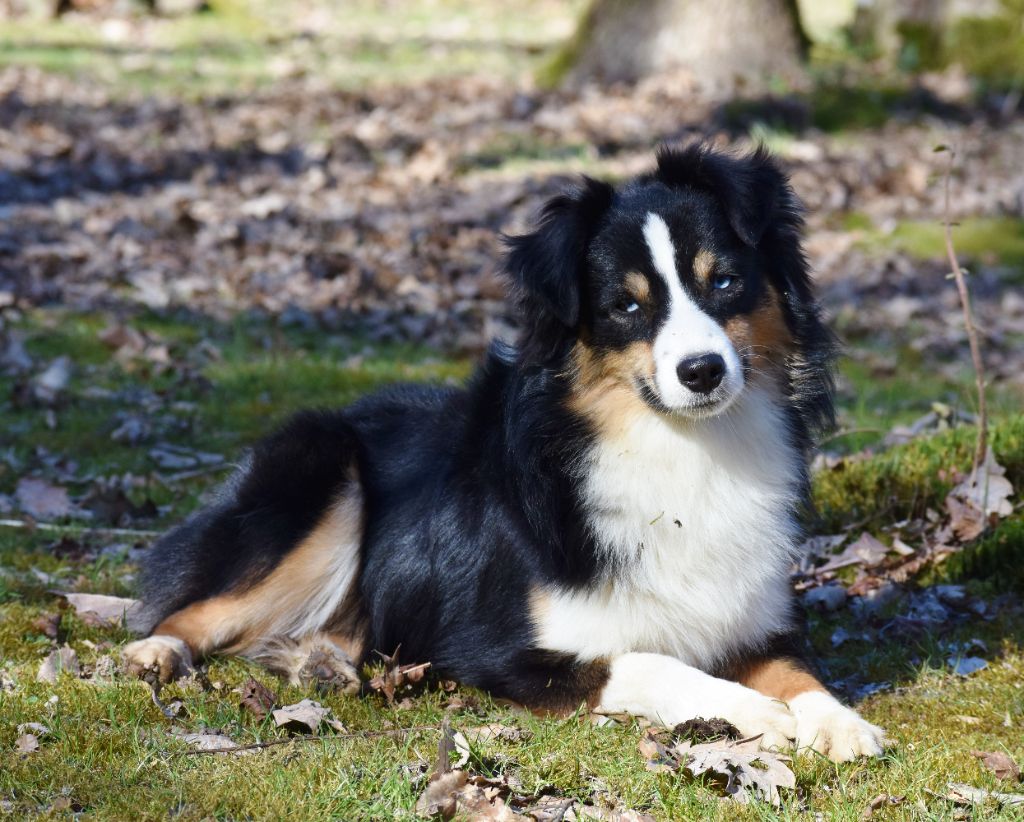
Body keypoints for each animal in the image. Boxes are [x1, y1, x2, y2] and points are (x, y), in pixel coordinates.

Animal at [123, 143, 884, 765]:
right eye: (626, 306)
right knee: (191, 604)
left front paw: (836, 720)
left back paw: (323, 663)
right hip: (324, 470)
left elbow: (799, 672)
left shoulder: (755, 621)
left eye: (723, 281)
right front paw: (758, 711)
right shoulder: (490, 648)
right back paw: (157, 651)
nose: (702, 371)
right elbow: (646, 661)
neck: (680, 446)